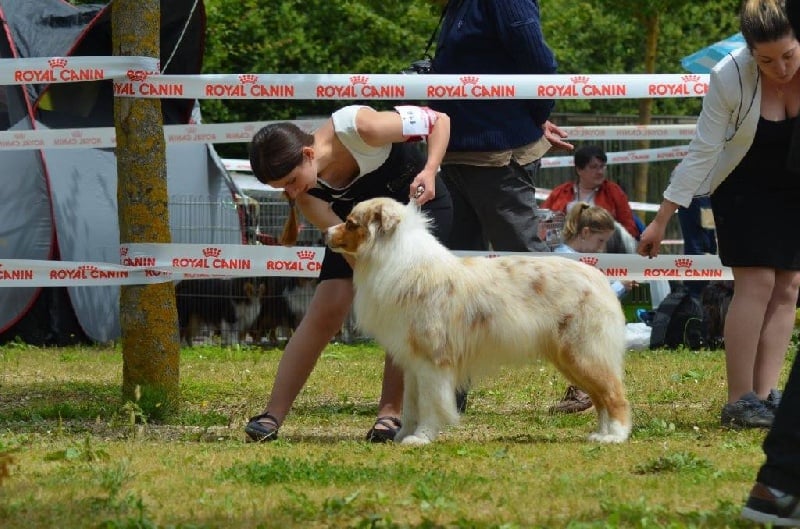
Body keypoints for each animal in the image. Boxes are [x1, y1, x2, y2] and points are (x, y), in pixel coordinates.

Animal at [324, 196, 632, 444]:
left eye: (350, 223)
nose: (326, 232)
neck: (396, 260)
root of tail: (598, 278)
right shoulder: (412, 362)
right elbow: (411, 405)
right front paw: (401, 436)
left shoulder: (433, 361)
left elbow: (430, 404)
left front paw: (421, 438)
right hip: (571, 358)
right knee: (601, 397)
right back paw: (601, 434)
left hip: (583, 353)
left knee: (614, 394)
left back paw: (615, 437)